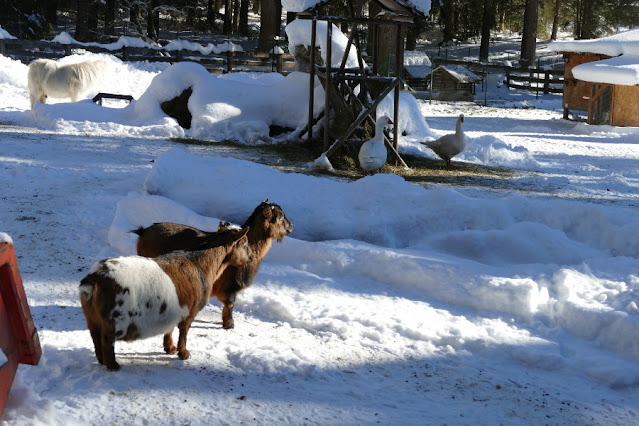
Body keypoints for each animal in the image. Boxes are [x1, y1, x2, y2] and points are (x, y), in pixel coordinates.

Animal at [79, 226, 251, 370]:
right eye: (244, 243)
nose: (250, 258)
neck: (199, 264)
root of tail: (94, 280)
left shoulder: (174, 311)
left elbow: (170, 328)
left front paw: (170, 348)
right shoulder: (190, 312)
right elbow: (183, 332)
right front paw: (184, 353)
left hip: (92, 319)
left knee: (95, 338)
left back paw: (102, 360)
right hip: (112, 320)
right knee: (106, 341)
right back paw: (113, 365)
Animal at [136, 200, 296, 330]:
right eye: (280, 217)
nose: (291, 227)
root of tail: (144, 232)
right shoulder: (230, 284)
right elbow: (230, 304)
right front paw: (229, 324)